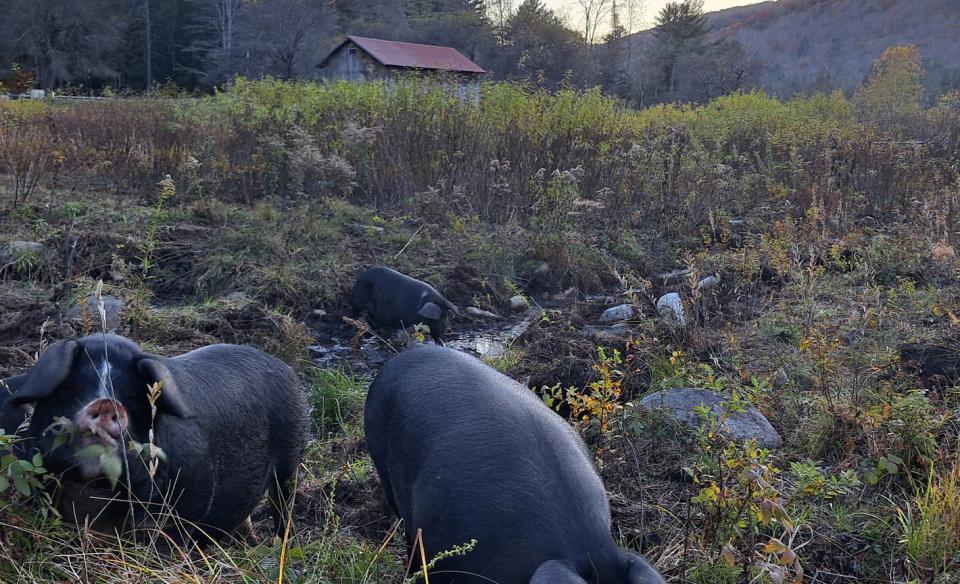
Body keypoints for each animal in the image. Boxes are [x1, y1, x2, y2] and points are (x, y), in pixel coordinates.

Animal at [0, 336, 308, 544]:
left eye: (132, 395)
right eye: (70, 387)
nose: (106, 403)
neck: (95, 490)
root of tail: (284, 367)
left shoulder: (189, 502)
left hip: (291, 457)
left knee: (283, 504)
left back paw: (278, 543)